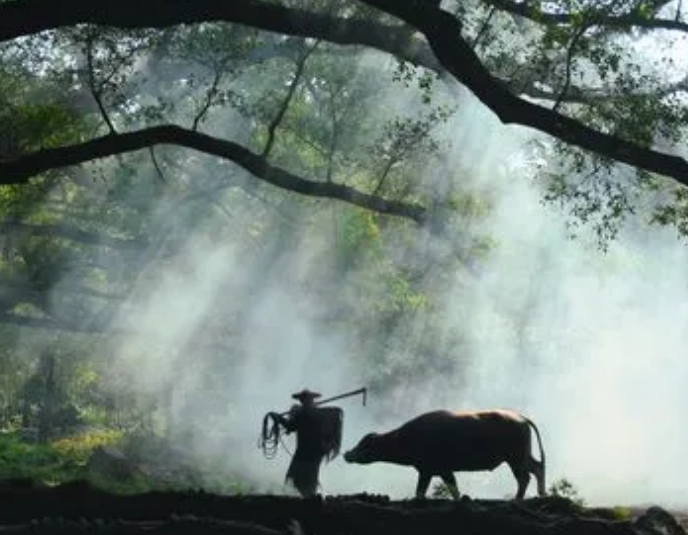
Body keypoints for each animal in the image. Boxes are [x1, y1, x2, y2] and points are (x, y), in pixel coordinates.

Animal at [346, 410, 544, 502]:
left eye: (365, 444)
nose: (347, 454)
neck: (407, 438)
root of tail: (520, 417)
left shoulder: (432, 470)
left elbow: (424, 491)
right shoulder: (437, 471)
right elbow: (450, 488)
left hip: (515, 458)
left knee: (525, 477)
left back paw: (517, 499)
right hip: (523, 455)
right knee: (537, 467)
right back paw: (541, 493)